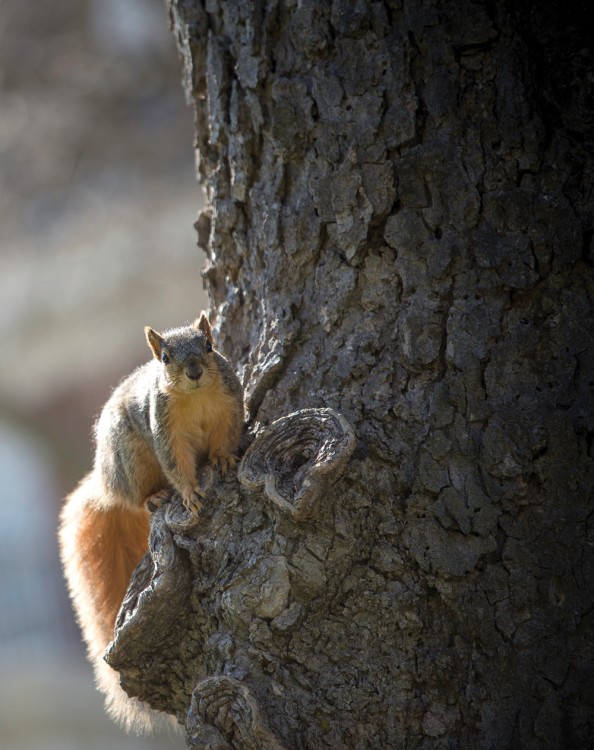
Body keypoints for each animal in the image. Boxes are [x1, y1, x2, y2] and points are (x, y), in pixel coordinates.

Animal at [58, 314, 243, 736]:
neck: (195, 397)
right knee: (137, 493)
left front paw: (224, 459)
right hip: (133, 457)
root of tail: (106, 483)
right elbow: (176, 463)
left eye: (209, 346)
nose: (194, 371)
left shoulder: (229, 404)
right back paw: (154, 498)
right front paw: (189, 493)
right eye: (166, 358)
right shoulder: (165, 431)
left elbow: (227, 437)